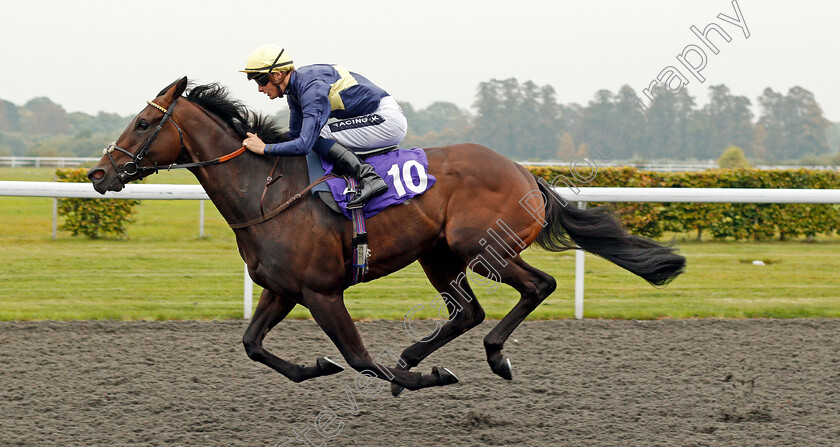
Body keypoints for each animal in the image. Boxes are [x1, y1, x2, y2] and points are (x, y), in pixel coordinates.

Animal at [88, 77, 684, 396]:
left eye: (144, 123)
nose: (98, 173)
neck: (263, 190)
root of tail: (525, 174)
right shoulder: (282, 288)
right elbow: (253, 344)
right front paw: (316, 366)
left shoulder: (322, 292)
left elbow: (358, 358)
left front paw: (426, 378)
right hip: (439, 256)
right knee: (468, 311)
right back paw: (416, 357)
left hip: (479, 247)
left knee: (538, 286)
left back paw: (489, 358)